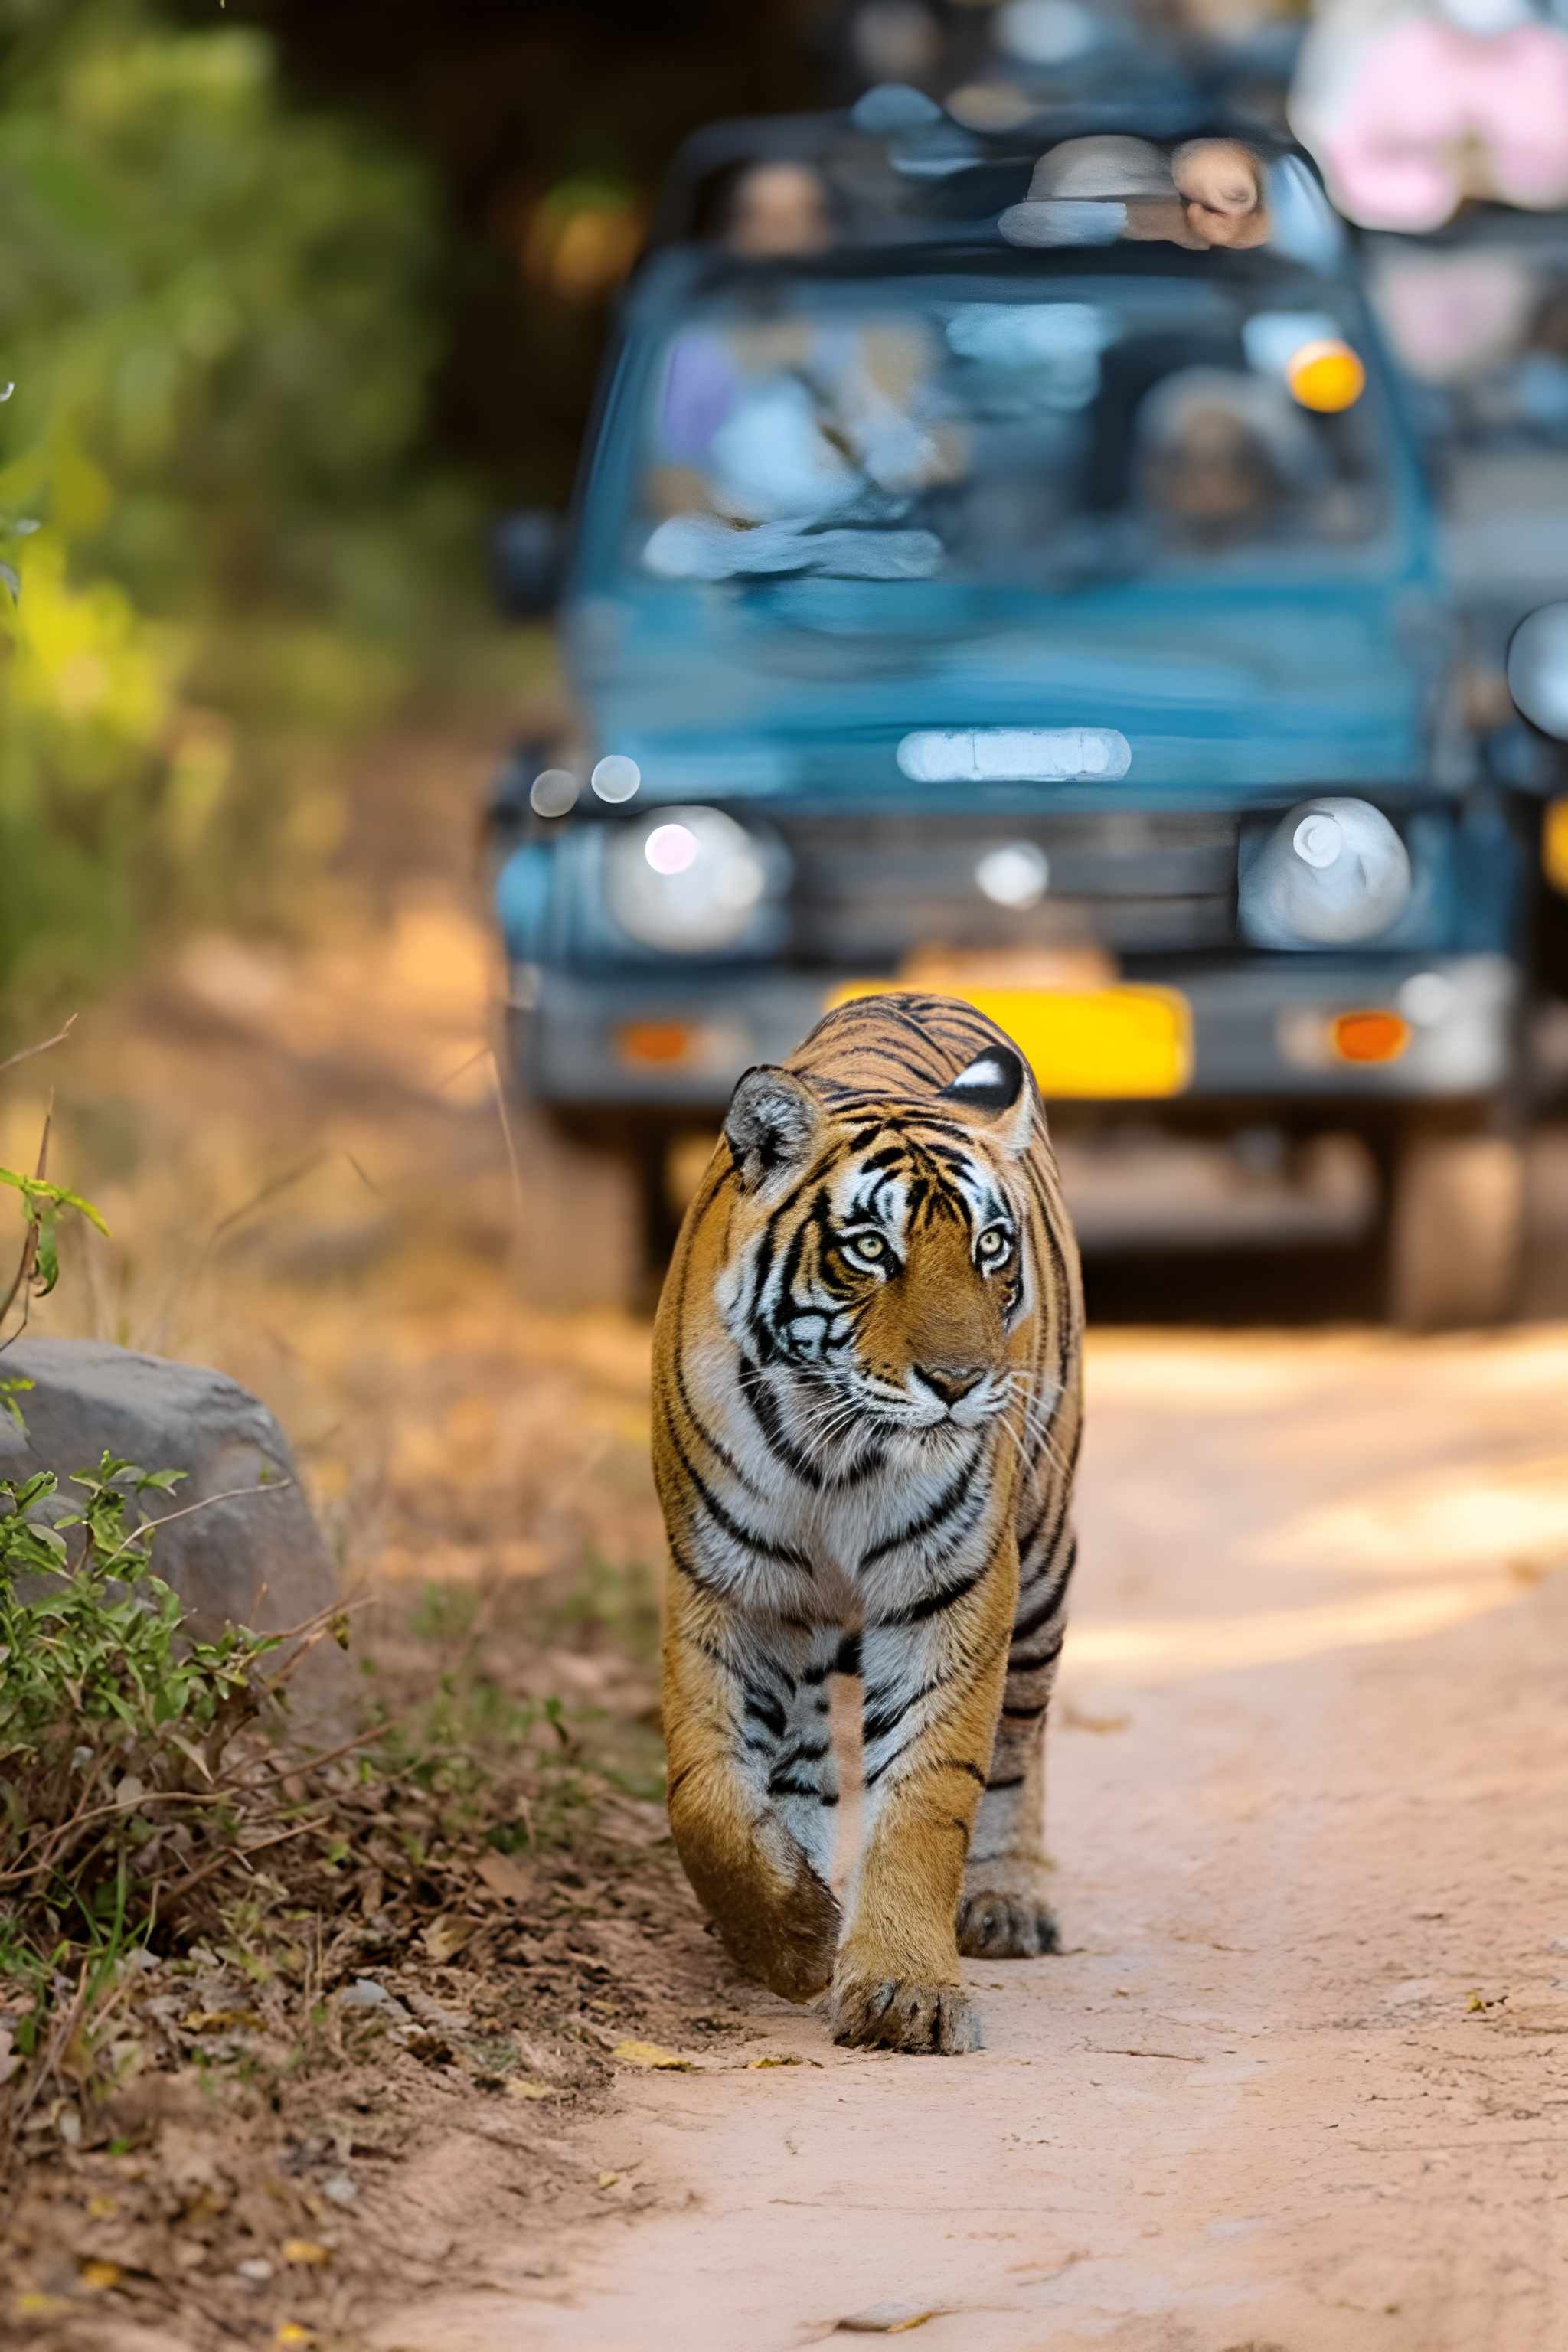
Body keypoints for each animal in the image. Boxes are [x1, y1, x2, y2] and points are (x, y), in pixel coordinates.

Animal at [652, 990, 1083, 2055]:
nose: (961, 1384)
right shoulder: (723, 1582)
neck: (835, 1446)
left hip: (1043, 1565)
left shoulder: (950, 1586)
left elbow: (928, 1794)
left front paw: (900, 1991)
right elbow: (706, 1792)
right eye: (870, 1251)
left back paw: (1005, 1903)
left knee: (1019, 1744)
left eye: (988, 1248)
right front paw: (795, 1935)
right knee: (802, 1755)